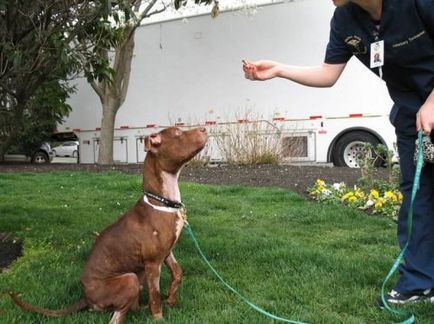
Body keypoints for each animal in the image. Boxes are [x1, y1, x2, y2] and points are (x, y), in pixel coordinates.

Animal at [8, 127, 209, 324]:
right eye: (178, 133)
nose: (205, 129)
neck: (161, 201)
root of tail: (86, 298)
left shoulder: (166, 252)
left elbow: (178, 273)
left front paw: (172, 299)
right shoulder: (153, 263)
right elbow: (155, 295)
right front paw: (158, 317)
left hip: (138, 278)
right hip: (130, 279)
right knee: (116, 317)